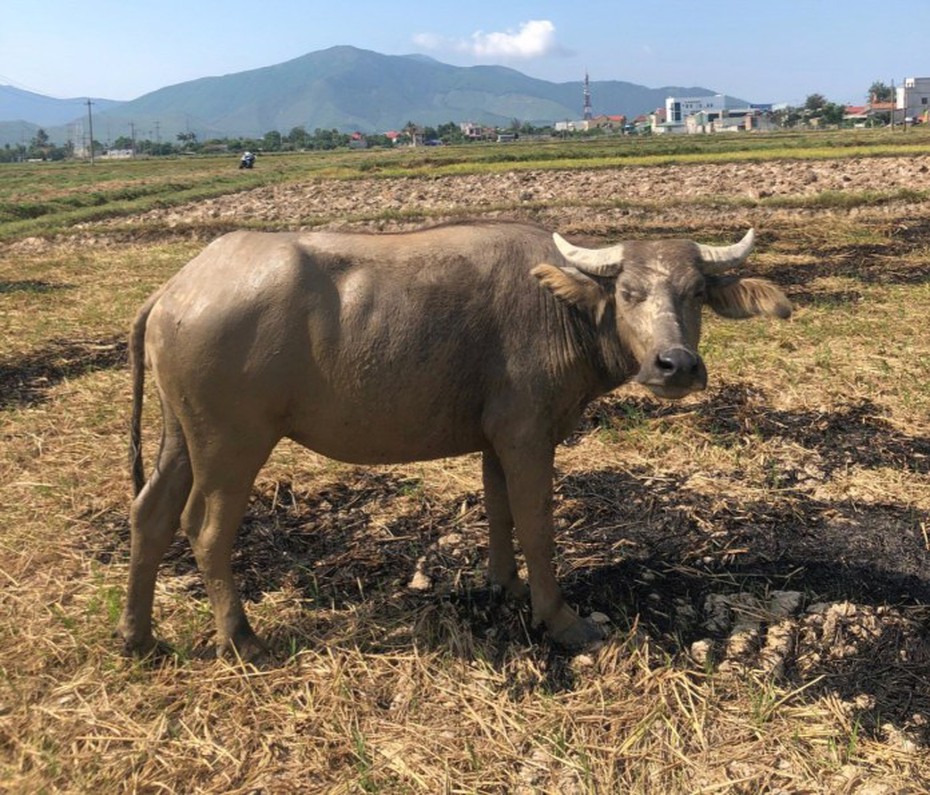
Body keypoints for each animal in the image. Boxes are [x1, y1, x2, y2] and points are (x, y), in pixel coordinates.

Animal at [114, 219, 784, 660]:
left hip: (182, 433)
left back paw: (138, 637)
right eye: (628, 293)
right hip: (234, 442)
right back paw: (242, 639)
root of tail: (176, 289)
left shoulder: (495, 438)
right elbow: (537, 524)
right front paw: (559, 618)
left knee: (151, 513)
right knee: (206, 530)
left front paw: (503, 585)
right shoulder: (528, 435)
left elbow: (498, 510)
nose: (676, 366)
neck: (562, 311)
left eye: (696, 293)